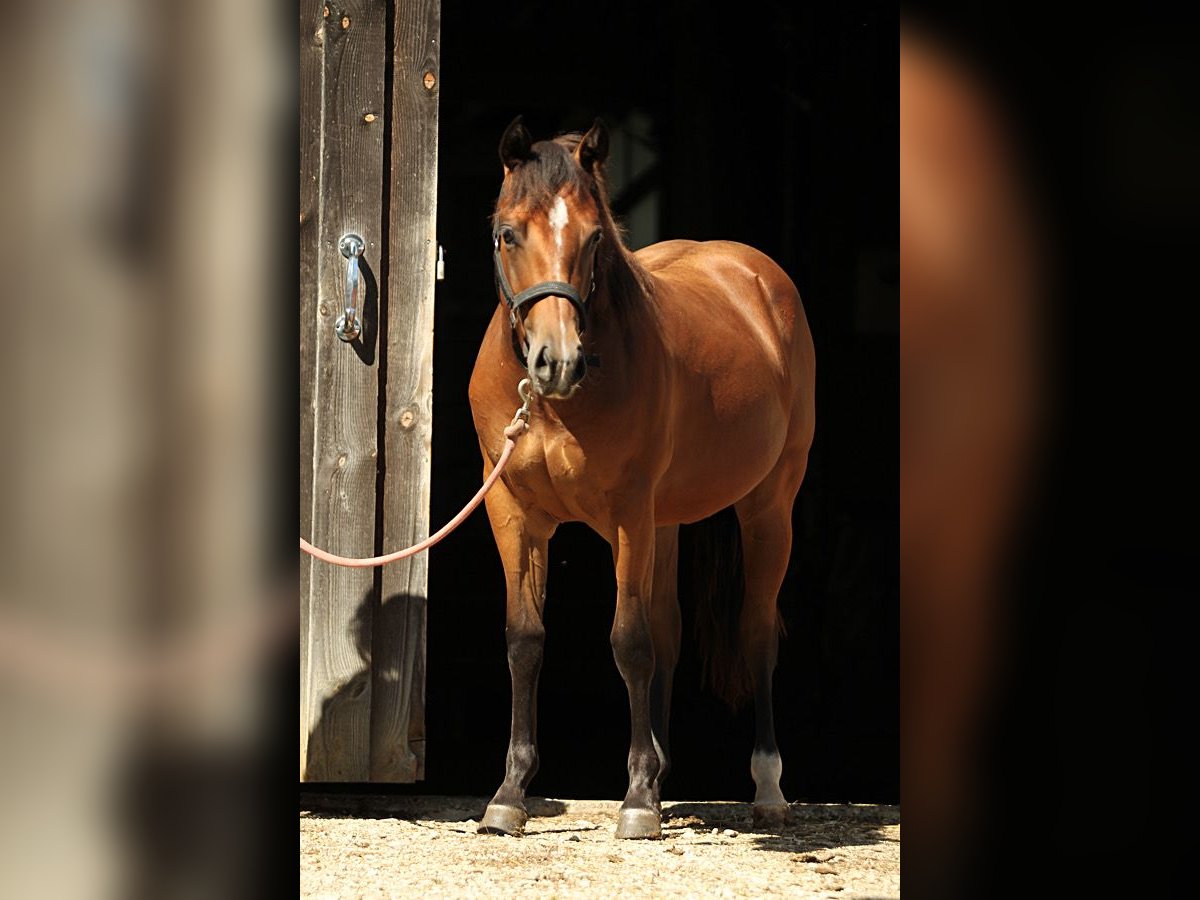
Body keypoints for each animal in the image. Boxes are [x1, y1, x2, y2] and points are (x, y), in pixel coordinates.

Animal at [468, 116, 816, 844]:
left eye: (595, 237)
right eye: (508, 232)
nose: (557, 362)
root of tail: (750, 271)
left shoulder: (628, 511)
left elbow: (628, 642)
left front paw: (634, 801)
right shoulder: (513, 513)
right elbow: (526, 640)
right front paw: (511, 795)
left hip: (768, 506)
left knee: (756, 630)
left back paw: (766, 787)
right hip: (668, 521)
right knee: (670, 629)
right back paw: (660, 774)